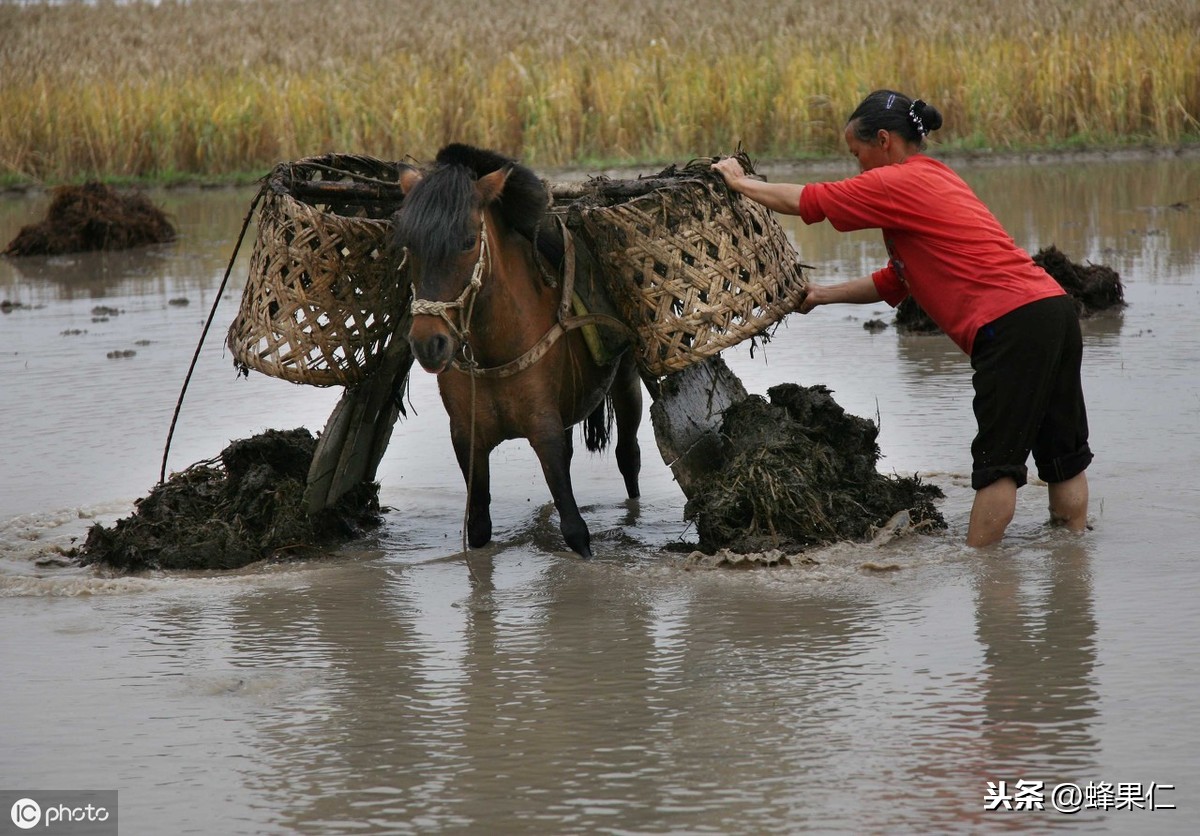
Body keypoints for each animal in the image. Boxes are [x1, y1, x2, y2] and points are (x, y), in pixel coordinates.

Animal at [393, 145, 643, 556]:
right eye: (409, 245)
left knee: (628, 456)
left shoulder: (544, 430)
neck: (495, 348)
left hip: (625, 378)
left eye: (467, 241)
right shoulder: (467, 438)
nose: (429, 344)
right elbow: (479, 528)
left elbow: (575, 530)